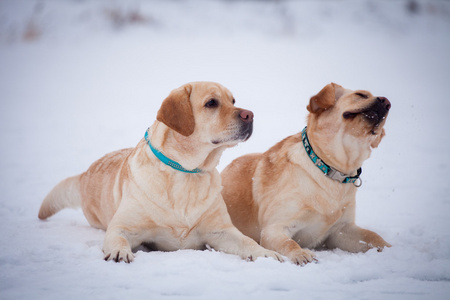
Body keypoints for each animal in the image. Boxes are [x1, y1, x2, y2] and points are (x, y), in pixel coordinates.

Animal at [40, 81, 284, 262]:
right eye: (211, 103)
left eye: (233, 101)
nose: (250, 115)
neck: (186, 172)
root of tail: (85, 173)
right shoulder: (122, 227)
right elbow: (118, 239)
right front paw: (120, 252)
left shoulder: (221, 230)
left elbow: (247, 241)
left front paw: (266, 253)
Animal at [221, 82, 390, 264]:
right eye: (361, 95)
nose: (387, 102)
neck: (329, 169)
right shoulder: (273, 229)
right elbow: (290, 243)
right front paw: (301, 254)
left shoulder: (341, 230)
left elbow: (373, 236)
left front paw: (390, 248)